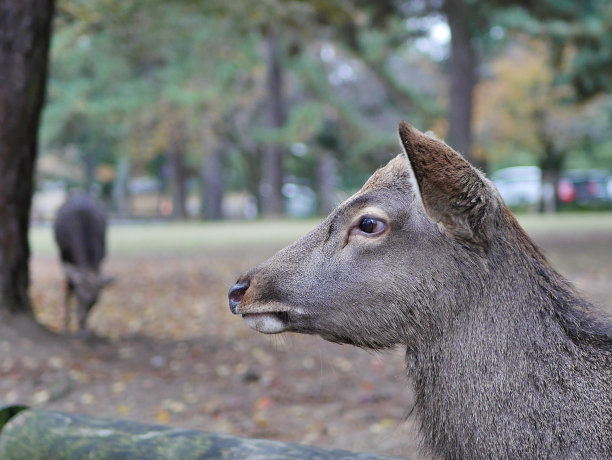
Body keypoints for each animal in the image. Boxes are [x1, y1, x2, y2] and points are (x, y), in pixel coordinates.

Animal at [54, 190, 113, 334]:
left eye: (95, 300)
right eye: (79, 295)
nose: (80, 319)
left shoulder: (102, 256)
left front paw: (84, 328)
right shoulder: (64, 255)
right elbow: (68, 286)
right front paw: (66, 326)